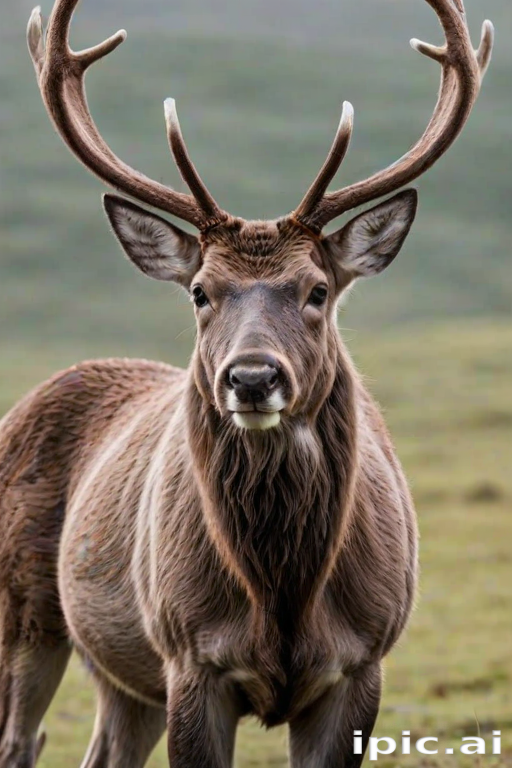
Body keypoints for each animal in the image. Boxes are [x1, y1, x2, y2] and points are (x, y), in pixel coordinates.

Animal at [0, 0, 493, 766]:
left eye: (318, 289)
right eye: (200, 291)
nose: (253, 376)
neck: (283, 595)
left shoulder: (364, 659)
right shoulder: (190, 654)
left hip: (124, 674)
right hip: (24, 611)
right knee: (19, 739)